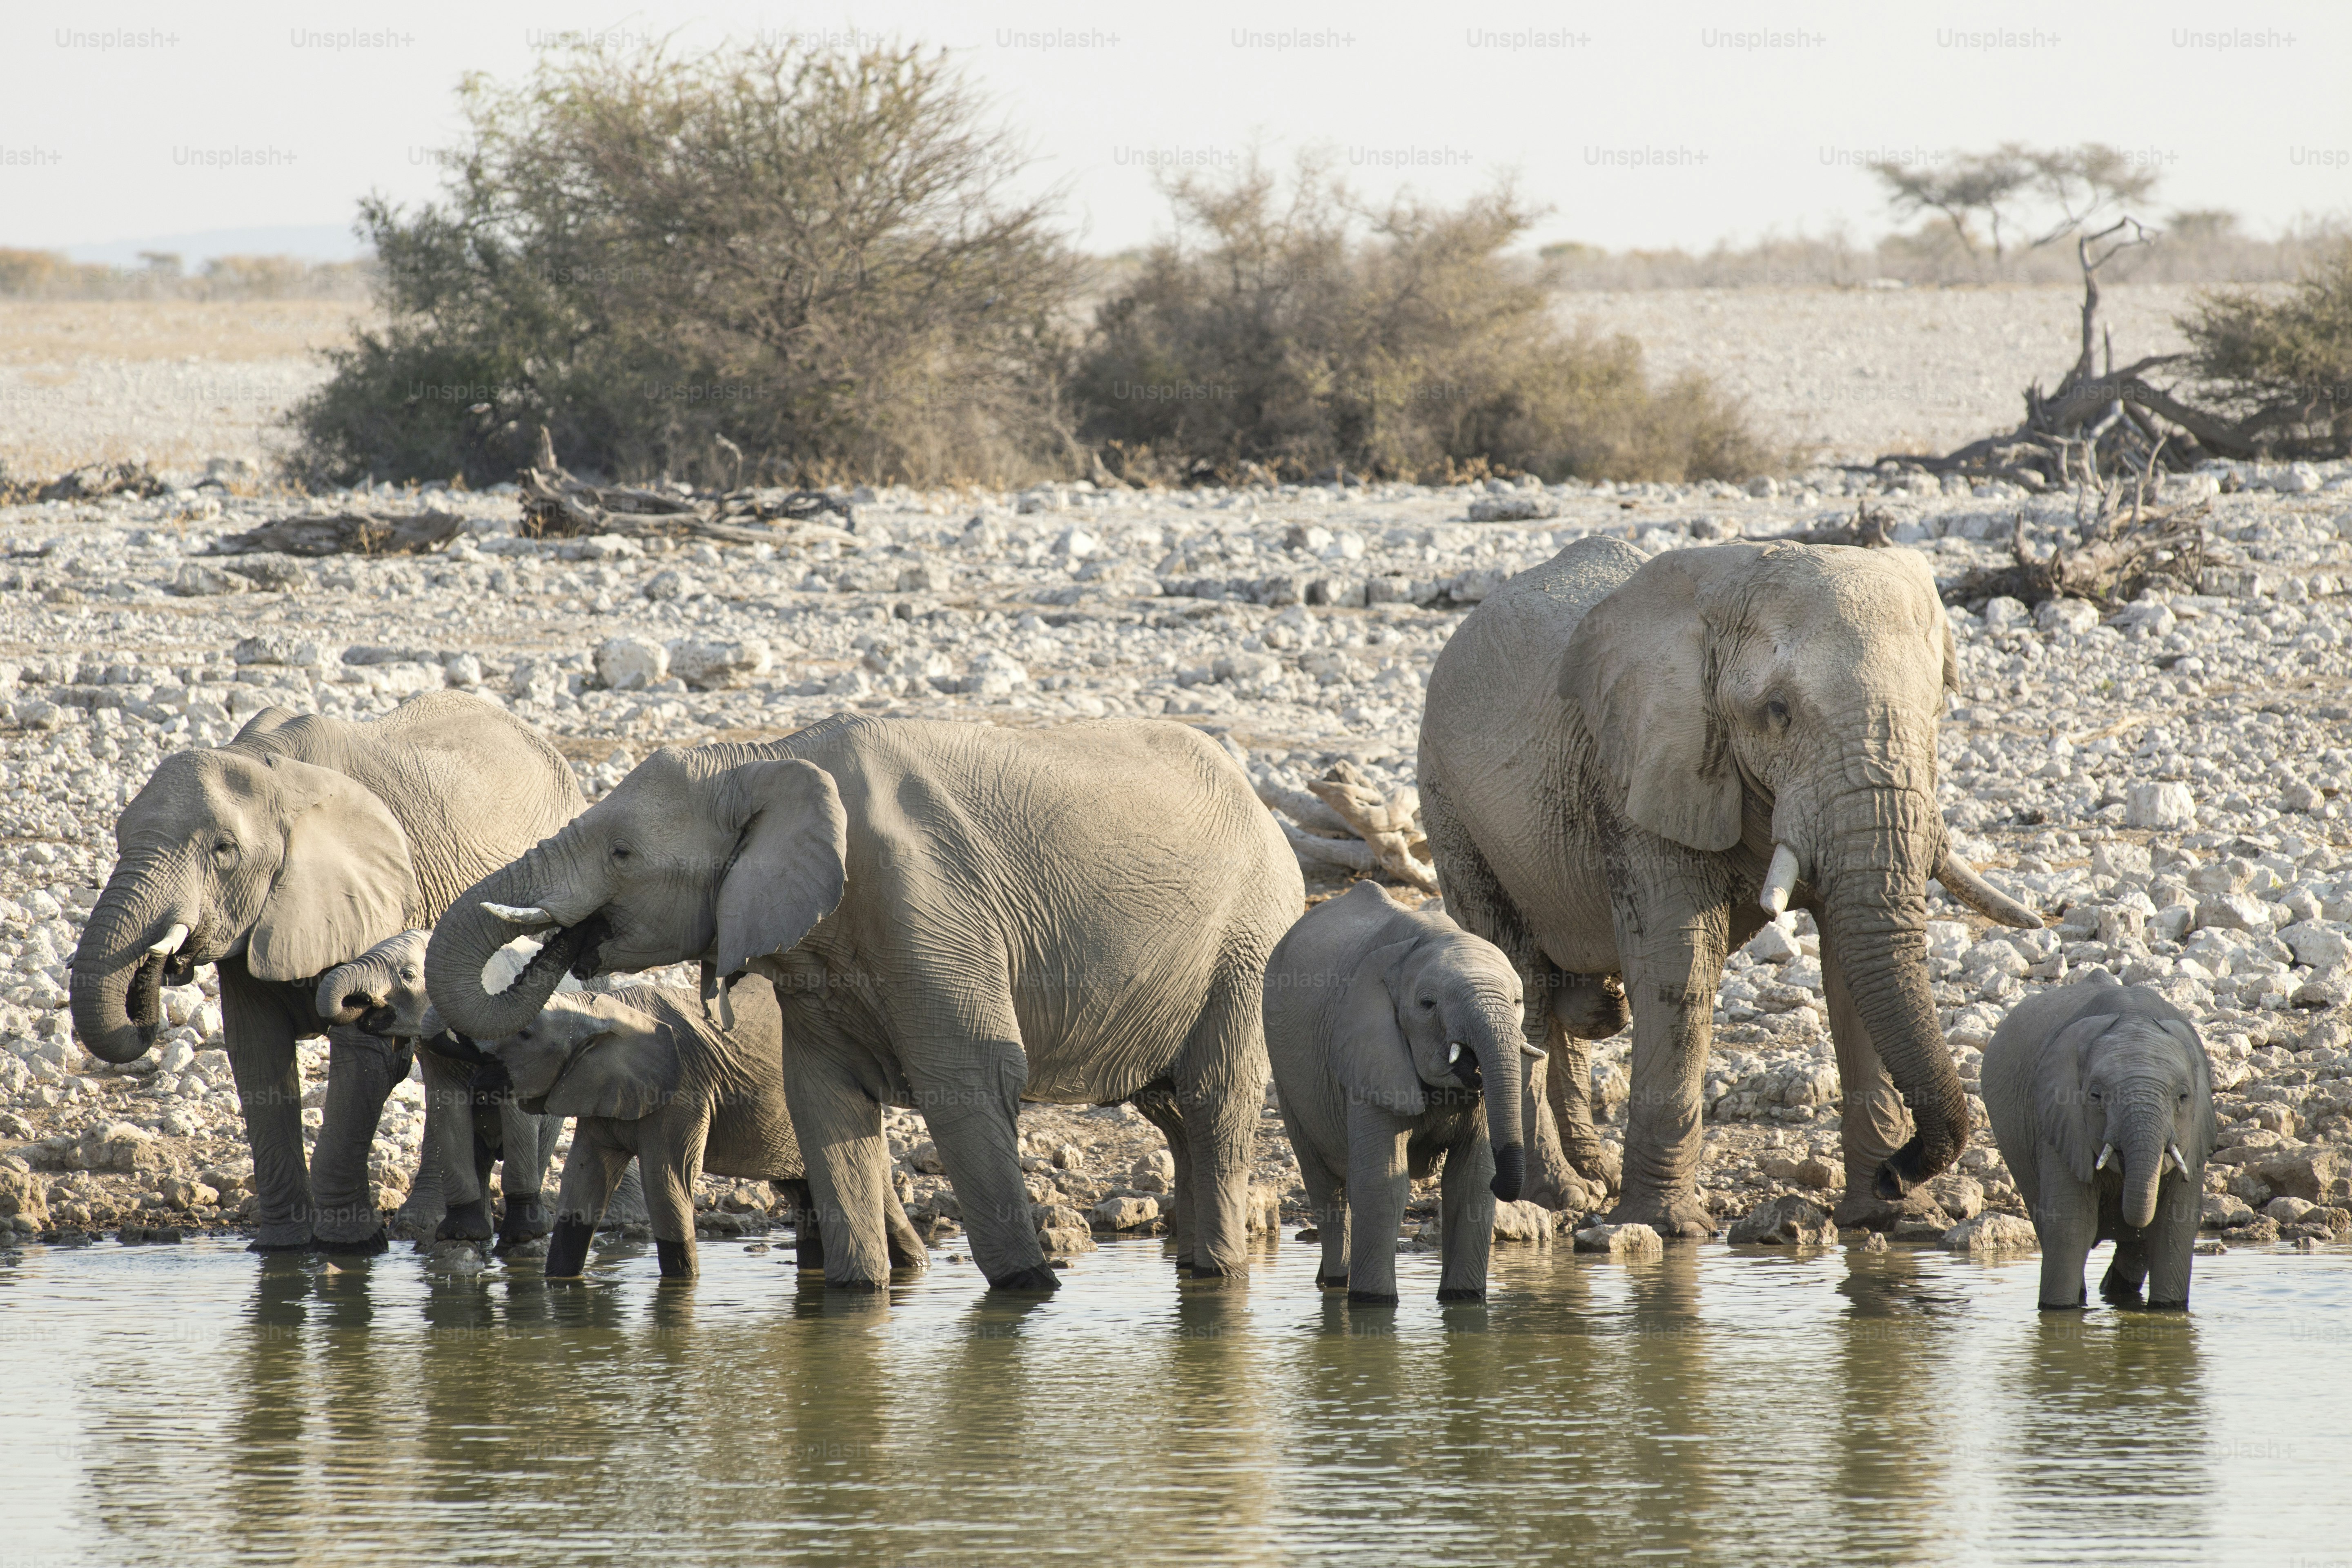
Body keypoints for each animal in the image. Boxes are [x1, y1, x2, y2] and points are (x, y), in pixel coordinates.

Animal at [69, 693, 585, 1252]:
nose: (163, 964)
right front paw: (281, 1249)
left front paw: (350, 1246)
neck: (270, 770)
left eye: (223, 850)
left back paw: (426, 1228)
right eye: (119, 840)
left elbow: (368, 1055)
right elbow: (257, 1055)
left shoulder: (371, 895)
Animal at [478, 979, 931, 1280]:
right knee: (804, 1195)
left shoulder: (684, 1090)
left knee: (879, 1197)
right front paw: (559, 1283)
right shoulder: (598, 1085)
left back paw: (916, 1268)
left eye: (525, 1034)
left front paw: (682, 1287)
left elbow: (666, 1180)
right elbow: (584, 1182)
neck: (603, 1008)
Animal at [1265, 881, 1544, 1304]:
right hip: (1287, 1078)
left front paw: (1463, 1299)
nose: (1505, 1183)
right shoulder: (1371, 1054)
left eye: (1517, 1001)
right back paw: (1337, 1282)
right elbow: (1383, 1183)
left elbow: (1470, 1182)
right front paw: (1373, 1303)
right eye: (1428, 1005)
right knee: (1326, 1186)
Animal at [1419, 537, 2042, 1237]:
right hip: (1452, 810)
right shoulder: (1646, 770)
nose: (1900, 1169)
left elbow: (1852, 970)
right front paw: (1669, 1230)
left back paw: (1591, 1178)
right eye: (1778, 713)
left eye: (1936, 712)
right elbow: (1679, 967)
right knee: (1518, 978)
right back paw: (1559, 1198)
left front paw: (1892, 1218)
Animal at [1981, 976, 2216, 1310]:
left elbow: (2174, 1226)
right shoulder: (2058, 1122)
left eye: (2183, 1097)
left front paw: (2167, 1310)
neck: (2133, 1018)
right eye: (2095, 1096)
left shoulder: (2194, 1137)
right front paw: (2060, 1310)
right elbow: (2071, 1225)